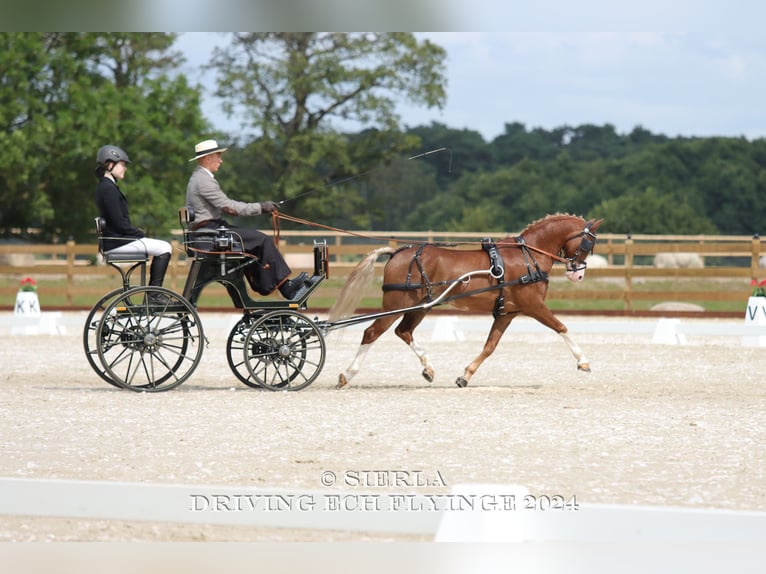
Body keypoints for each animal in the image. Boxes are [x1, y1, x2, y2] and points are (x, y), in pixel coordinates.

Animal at [330, 214, 608, 390]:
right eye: (589, 243)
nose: (577, 274)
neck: (529, 256)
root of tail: (398, 252)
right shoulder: (533, 305)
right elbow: (562, 327)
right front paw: (583, 361)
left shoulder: (507, 313)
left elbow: (490, 346)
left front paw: (465, 376)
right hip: (395, 305)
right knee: (372, 332)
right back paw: (347, 374)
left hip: (420, 307)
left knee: (403, 331)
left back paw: (428, 368)